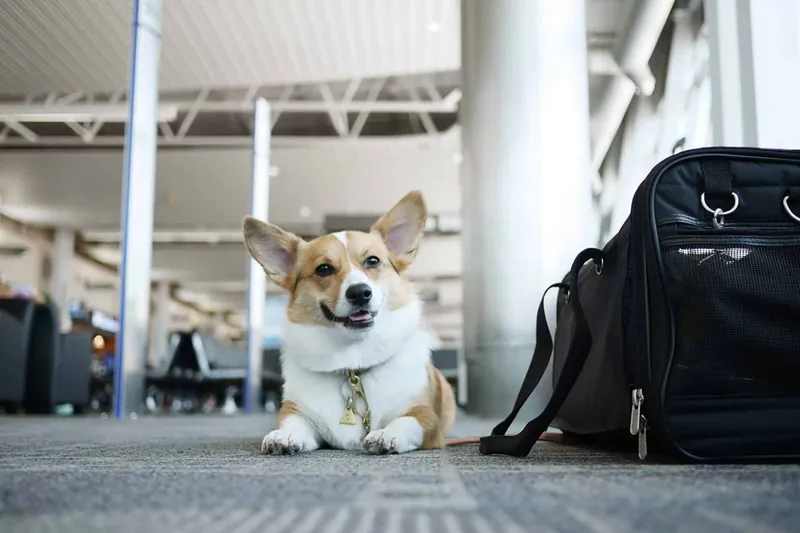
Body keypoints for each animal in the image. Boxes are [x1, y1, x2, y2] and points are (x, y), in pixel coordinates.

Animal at [242, 190, 456, 454]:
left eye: (373, 261)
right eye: (323, 268)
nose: (359, 293)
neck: (353, 363)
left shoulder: (425, 417)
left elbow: (407, 421)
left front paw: (387, 434)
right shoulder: (297, 410)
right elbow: (292, 422)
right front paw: (284, 436)